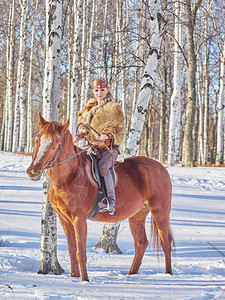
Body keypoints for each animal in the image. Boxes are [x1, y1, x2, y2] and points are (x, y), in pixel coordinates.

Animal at [26, 113, 174, 282]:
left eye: (55, 145)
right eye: (37, 139)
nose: (33, 171)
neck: (71, 176)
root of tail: (161, 168)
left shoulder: (79, 219)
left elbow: (80, 252)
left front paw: (85, 280)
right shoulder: (64, 219)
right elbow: (72, 250)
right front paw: (74, 277)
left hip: (160, 212)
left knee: (165, 242)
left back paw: (168, 274)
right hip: (137, 215)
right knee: (141, 243)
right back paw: (131, 274)